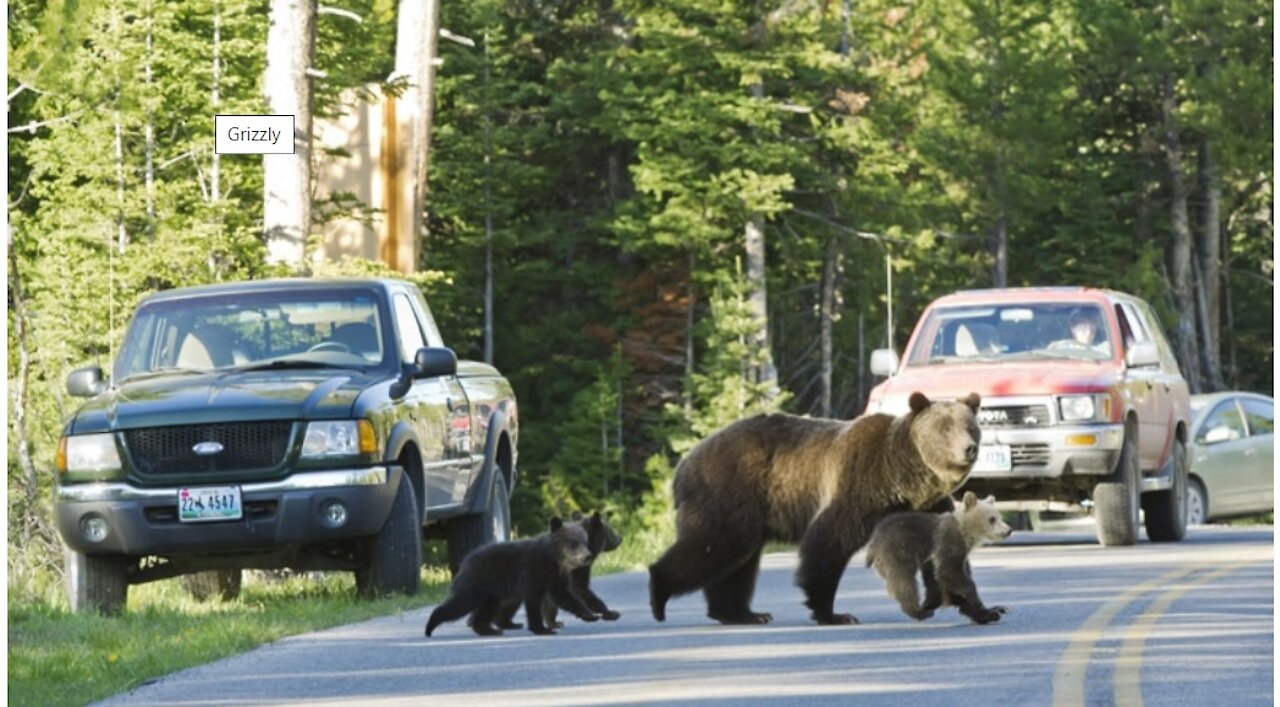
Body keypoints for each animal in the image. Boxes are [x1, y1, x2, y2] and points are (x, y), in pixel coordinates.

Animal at [422, 517, 596, 637]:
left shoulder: (556, 576)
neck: (555, 559)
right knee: (460, 603)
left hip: (490, 591)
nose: (587, 556)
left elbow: (565, 596)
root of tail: (466, 560)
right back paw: (430, 626)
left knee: (487, 607)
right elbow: (533, 601)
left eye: (585, 541)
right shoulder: (534, 571)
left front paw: (590, 615)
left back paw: (488, 630)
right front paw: (541, 629)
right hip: (476, 581)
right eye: (573, 543)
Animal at [650, 389, 977, 627]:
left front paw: (969, 604)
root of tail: (684, 464)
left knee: (738, 562)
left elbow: (948, 555)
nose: (969, 448)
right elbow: (828, 542)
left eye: (971, 426)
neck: (903, 478)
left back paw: (743, 613)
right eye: (945, 428)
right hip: (729, 490)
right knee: (714, 546)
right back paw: (659, 594)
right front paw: (834, 613)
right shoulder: (857, 487)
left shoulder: (932, 507)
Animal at [865, 491, 1013, 625]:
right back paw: (919, 611)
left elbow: (950, 578)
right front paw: (977, 602)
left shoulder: (956, 554)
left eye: (1000, 516)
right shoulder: (949, 541)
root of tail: (873, 541)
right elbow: (949, 571)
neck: (965, 532)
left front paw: (992, 611)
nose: (1008, 530)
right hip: (897, 549)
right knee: (903, 579)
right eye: (992, 519)